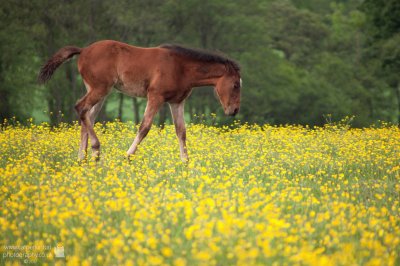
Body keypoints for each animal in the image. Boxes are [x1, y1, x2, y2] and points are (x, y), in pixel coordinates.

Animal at [38, 40, 241, 162]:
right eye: (235, 85)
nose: (234, 111)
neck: (181, 67)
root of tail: (83, 50)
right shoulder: (155, 97)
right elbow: (144, 127)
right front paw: (128, 156)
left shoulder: (176, 102)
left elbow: (181, 132)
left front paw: (186, 163)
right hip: (100, 89)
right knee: (81, 107)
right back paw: (95, 149)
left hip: (99, 92)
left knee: (87, 116)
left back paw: (84, 158)